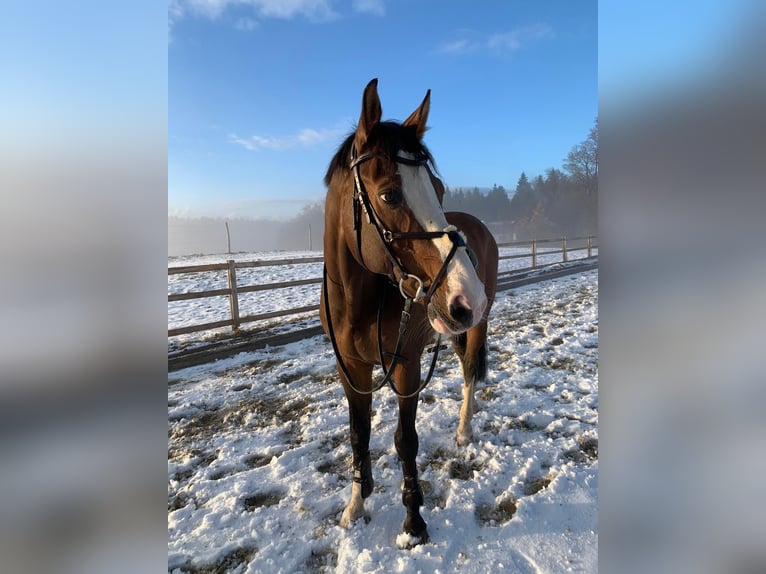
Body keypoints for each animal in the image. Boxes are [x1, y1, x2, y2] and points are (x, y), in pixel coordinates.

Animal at [320, 79, 500, 548]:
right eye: (389, 194)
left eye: (437, 188)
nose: (468, 296)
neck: (358, 301)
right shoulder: (351, 369)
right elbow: (358, 435)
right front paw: (355, 505)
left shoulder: (406, 365)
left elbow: (405, 441)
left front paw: (413, 521)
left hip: (473, 326)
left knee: (471, 369)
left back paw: (463, 430)